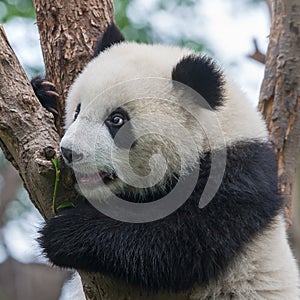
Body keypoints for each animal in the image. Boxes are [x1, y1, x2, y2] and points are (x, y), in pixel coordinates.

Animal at [31, 22, 298, 298]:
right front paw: (43, 93)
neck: (212, 138)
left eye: (116, 119)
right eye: (77, 111)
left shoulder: (235, 179)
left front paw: (65, 232)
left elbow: (177, 246)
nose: (69, 151)